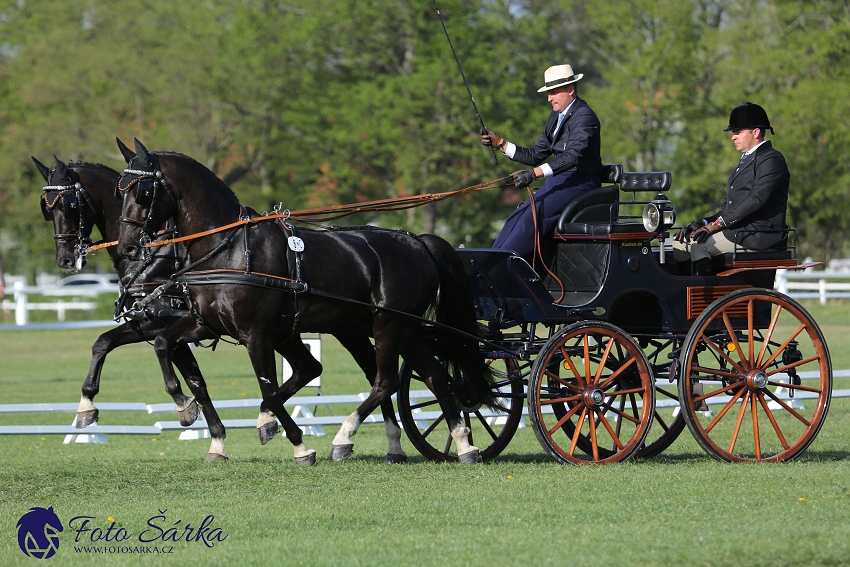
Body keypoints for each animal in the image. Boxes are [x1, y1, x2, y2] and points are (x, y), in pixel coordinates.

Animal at [33, 155, 232, 462]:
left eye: (70, 205)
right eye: (46, 206)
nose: (65, 260)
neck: (149, 257)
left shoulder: (164, 326)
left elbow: (192, 381)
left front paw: (185, 408)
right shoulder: (147, 325)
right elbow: (102, 343)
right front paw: (86, 406)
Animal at [113, 139, 496, 466]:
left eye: (142, 191)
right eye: (120, 189)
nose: (127, 248)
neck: (229, 248)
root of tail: (417, 242)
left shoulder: (256, 335)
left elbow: (269, 391)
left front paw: (297, 444)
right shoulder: (204, 324)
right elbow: (163, 343)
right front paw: (184, 405)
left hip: (389, 325)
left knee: (384, 381)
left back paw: (344, 437)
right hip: (399, 328)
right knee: (435, 377)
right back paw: (464, 445)